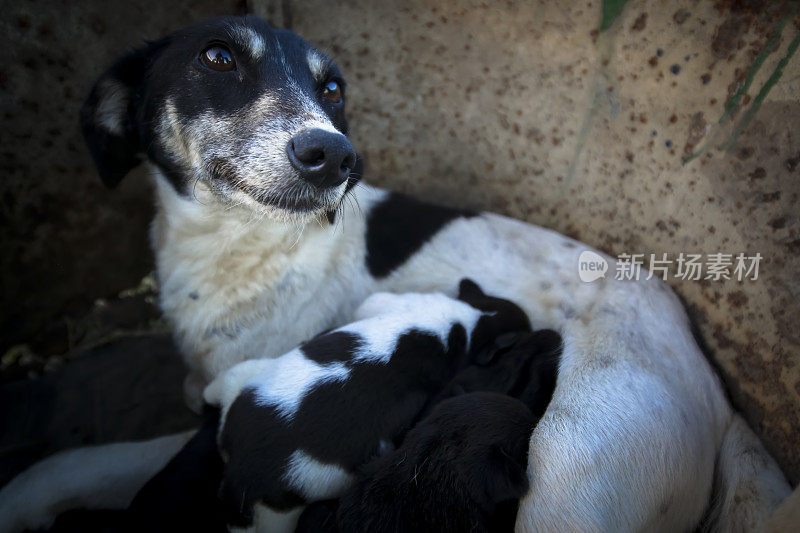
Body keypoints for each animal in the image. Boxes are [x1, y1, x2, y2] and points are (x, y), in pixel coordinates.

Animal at [205, 280, 532, 524]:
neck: (475, 317)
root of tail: (241, 467)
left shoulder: (387, 302)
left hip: (249, 379)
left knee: (228, 380)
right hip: (282, 510)